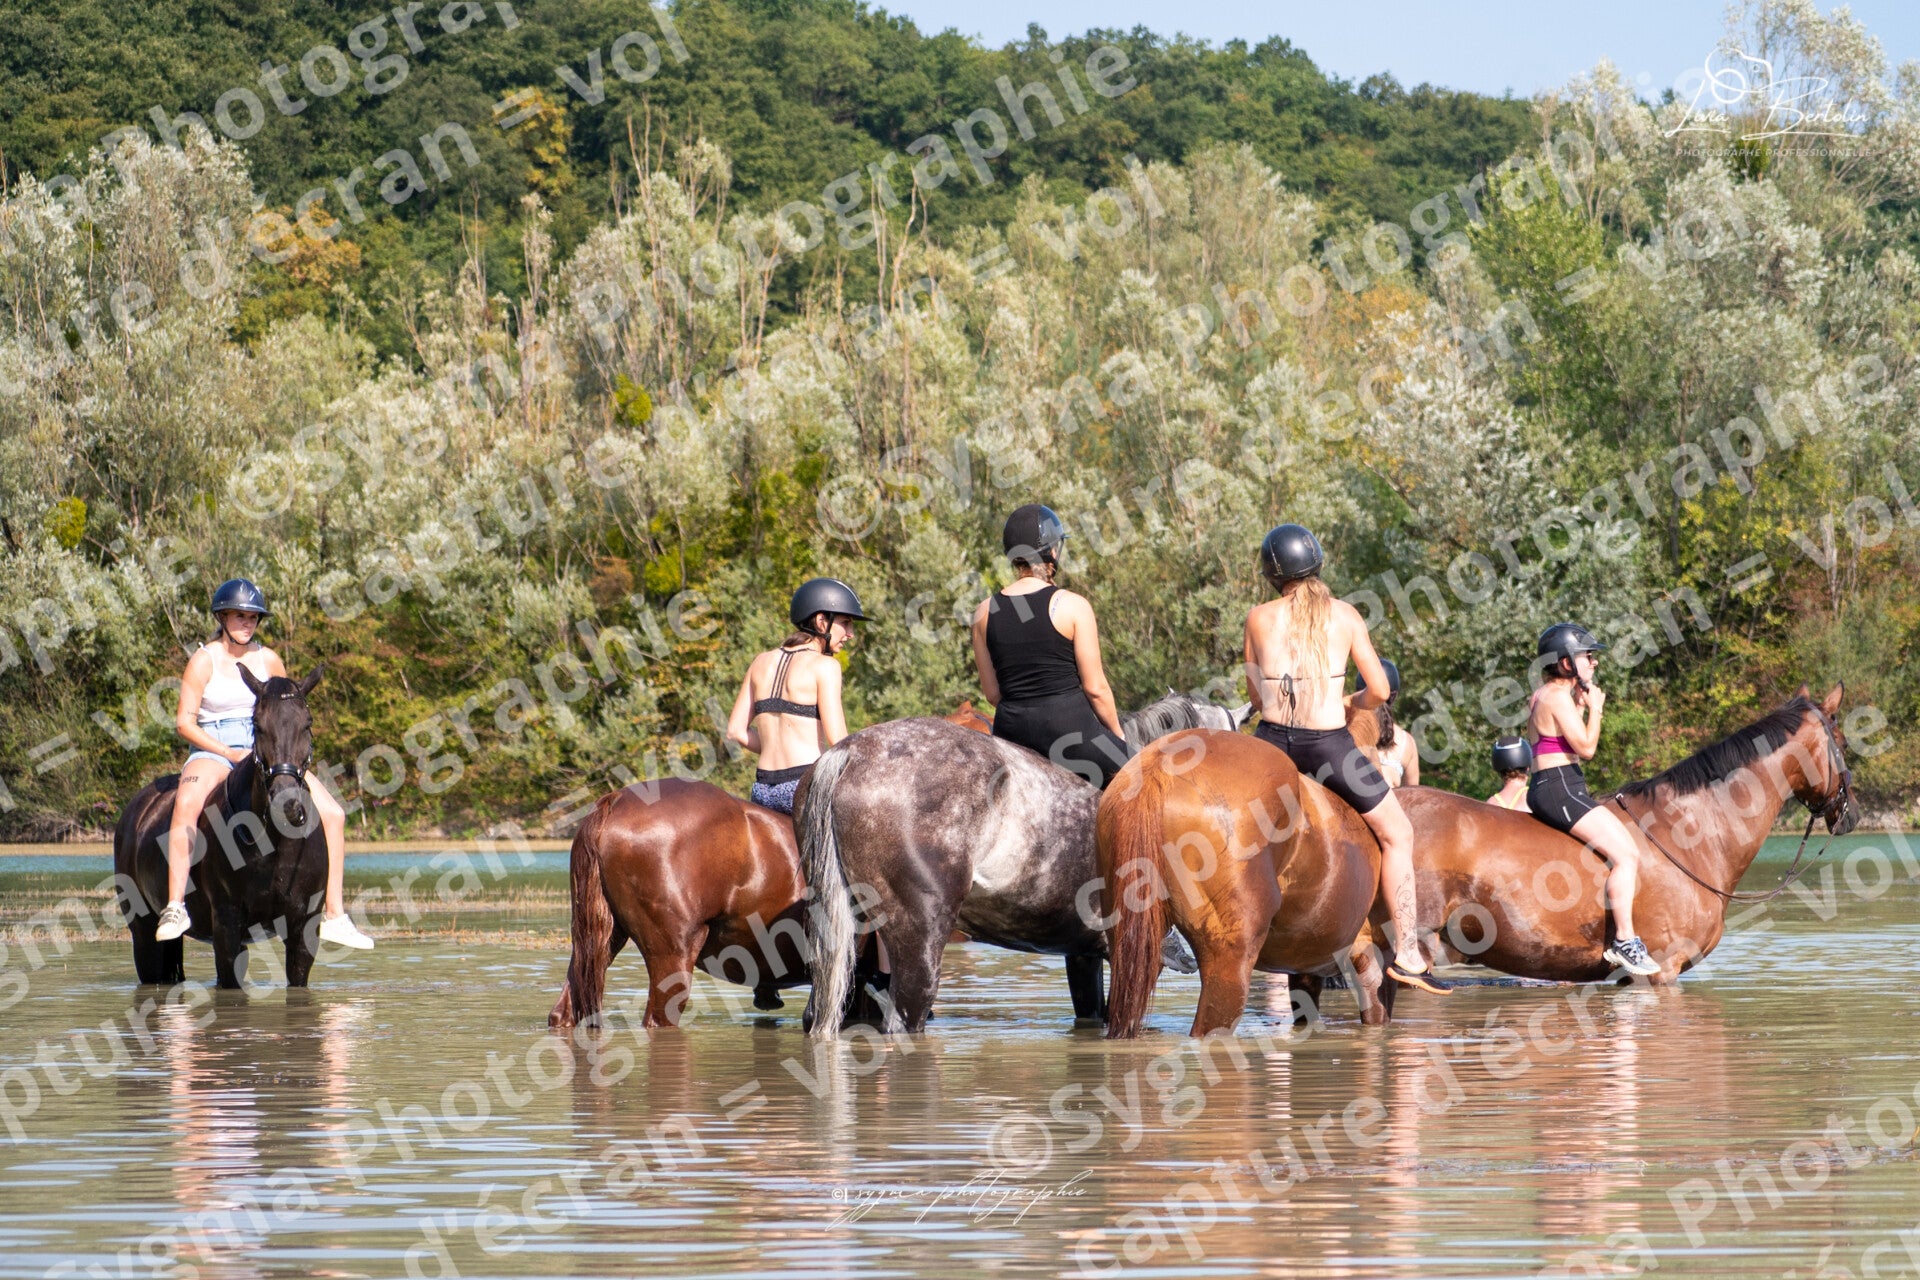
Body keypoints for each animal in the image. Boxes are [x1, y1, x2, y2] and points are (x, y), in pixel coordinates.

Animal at [114, 668, 330, 989]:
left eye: (308, 723)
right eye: (258, 724)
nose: (286, 803)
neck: (275, 844)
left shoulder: (303, 929)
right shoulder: (228, 927)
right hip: (143, 935)